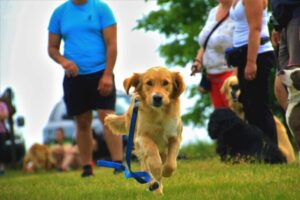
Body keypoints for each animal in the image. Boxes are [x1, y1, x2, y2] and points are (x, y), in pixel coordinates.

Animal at [105, 66, 185, 195]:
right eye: (149, 83)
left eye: (165, 83)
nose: (157, 98)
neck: (158, 114)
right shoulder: (141, 137)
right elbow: (152, 152)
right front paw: (157, 170)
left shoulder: (175, 137)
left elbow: (171, 163)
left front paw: (166, 171)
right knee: (146, 166)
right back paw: (153, 185)